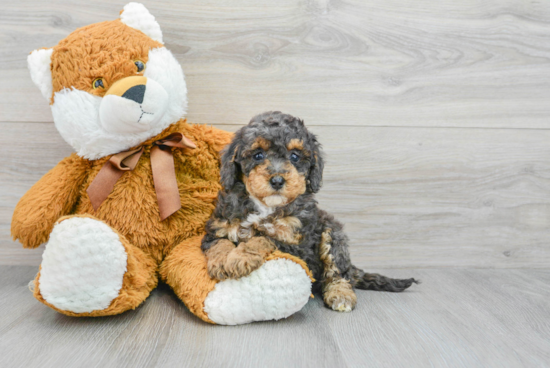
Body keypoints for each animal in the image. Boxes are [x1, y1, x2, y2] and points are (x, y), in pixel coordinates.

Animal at [203, 111, 418, 310]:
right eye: (258, 155)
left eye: (295, 156)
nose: (277, 180)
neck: (265, 206)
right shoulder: (217, 228)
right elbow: (220, 243)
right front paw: (221, 261)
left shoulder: (298, 245)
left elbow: (263, 238)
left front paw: (239, 258)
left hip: (333, 233)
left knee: (339, 272)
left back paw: (341, 295)